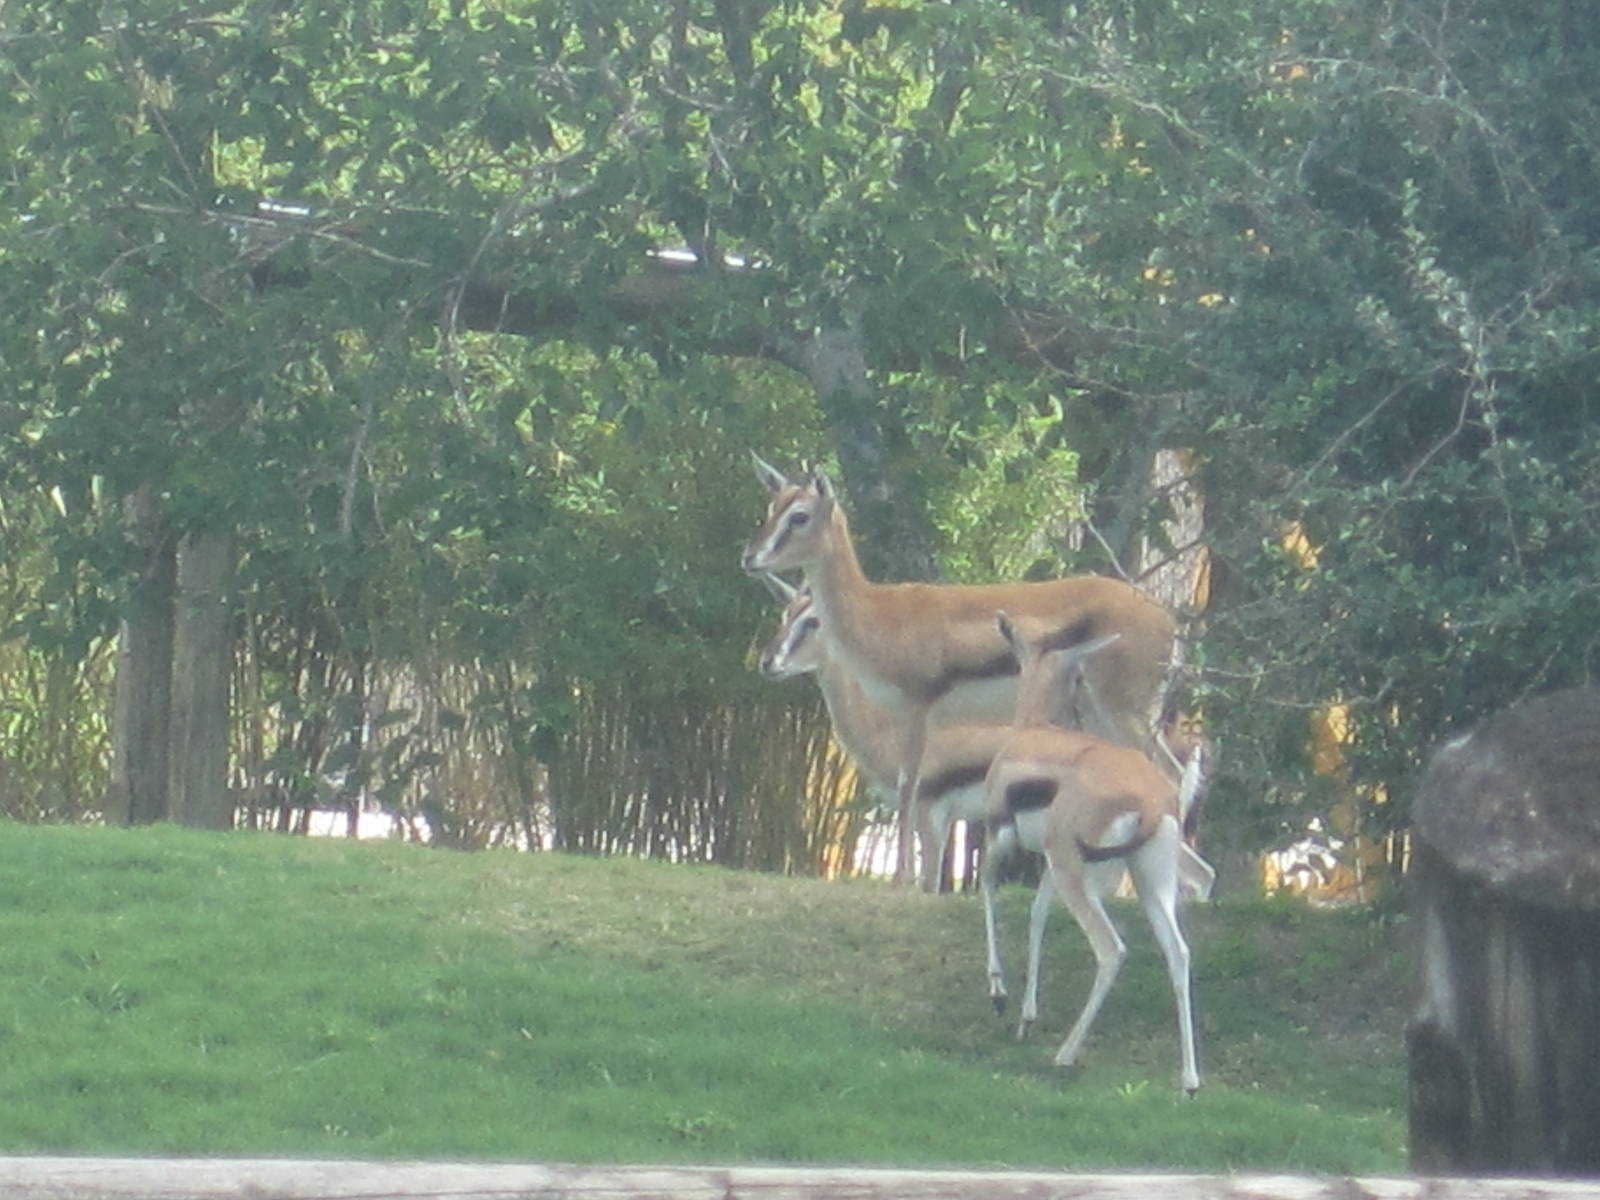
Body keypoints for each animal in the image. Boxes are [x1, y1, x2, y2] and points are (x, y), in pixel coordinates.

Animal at [741, 455, 1177, 884]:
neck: (877, 613)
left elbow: (909, 788)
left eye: (799, 515)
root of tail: (1165, 618)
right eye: (771, 507)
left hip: (1123, 710)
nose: (750, 558)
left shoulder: (918, 710)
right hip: (1095, 715)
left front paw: (903, 882)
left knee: (1167, 770)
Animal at [980, 612, 1213, 1094]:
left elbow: (987, 887)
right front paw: (1027, 1017)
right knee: (1178, 952)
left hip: (1083, 876)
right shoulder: (1049, 865)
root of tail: (1151, 800)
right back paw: (1189, 1080)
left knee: (1112, 949)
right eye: (1079, 676)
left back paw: (1066, 1054)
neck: (1031, 733)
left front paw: (999, 994)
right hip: (1147, 882)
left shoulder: (1002, 838)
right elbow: (1037, 916)